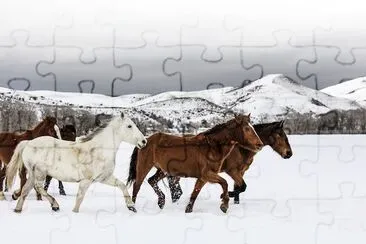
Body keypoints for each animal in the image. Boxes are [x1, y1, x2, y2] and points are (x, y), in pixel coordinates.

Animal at [6, 113, 147, 214]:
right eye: (129, 126)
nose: (144, 141)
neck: (99, 150)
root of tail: (28, 143)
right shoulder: (86, 181)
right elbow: (79, 198)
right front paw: (75, 213)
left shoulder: (104, 178)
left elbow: (122, 185)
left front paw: (131, 206)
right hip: (40, 173)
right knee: (38, 187)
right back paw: (55, 205)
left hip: (33, 173)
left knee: (25, 190)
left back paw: (17, 208)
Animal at [126, 114, 264, 212]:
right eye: (247, 128)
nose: (260, 144)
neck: (211, 147)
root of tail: (145, 141)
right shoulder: (208, 174)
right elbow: (224, 183)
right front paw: (224, 204)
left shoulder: (203, 177)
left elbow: (195, 193)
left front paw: (188, 209)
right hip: (144, 167)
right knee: (137, 187)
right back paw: (132, 208)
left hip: (163, 170)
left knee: (152, 180)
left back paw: (161, 201)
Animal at [150, 120, 294, 204]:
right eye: (280, 135)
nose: (289, 153)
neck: (241, 148)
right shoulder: (232, 171)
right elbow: (242, 187)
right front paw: (225, 195)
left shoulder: (240, 172)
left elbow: (239, 187)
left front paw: (233, 201)